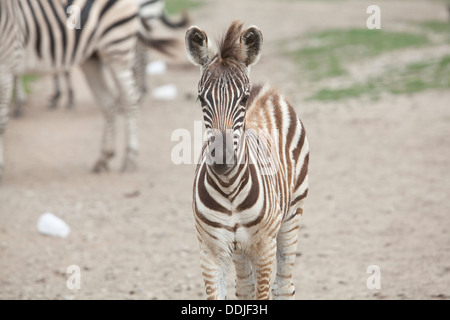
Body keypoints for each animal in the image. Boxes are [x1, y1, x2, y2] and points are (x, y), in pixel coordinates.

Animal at [0, 0, 171, 180]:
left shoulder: (6, 64)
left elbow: (2, 120)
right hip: (92, 56)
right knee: (108, 102)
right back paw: (104, 157)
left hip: (117, 47)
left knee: (130, 97)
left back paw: (129, 158)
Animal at [185, 20, 310, 300]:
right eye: (201, 98)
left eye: (242, 98)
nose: (222, 160)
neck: (229, 188)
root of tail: (266, 88)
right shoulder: (211, 250)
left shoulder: (263, 247)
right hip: (239, 249)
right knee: (244, 289)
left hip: (292, 214)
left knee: (284, 285)